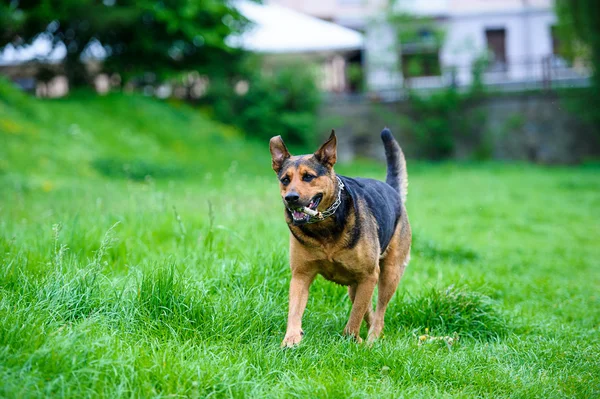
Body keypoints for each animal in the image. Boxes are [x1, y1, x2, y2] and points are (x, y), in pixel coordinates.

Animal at [270, 129, 412, 346]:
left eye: (308, 177)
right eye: (285, 179)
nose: (291, 198)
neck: (323, 227)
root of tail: (392, 190)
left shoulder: (369, 275)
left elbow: (355, 317)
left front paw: (351, 339)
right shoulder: (301, 275)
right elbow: (294, 311)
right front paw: (291, 339)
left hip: (389, 273)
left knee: (379, 312)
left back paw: (372, 340)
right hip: (356, 285)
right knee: (368, 309)